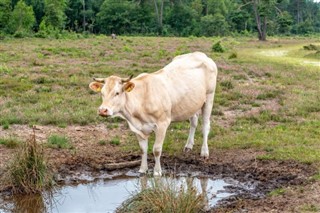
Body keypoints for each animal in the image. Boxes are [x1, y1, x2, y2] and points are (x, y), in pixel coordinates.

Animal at [89, 50, 218, 176]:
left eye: (117, 93)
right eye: (102, 93)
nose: (102, 110)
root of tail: (200, 54)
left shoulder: (162, 124)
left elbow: (156, 149)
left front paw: (157, 171)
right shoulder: (137, 128)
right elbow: (143, 149)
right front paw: (142, 169)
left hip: (209, 97)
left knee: (205, 125)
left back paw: (204, 152)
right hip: (192, 103)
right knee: (193, 122)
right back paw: (188, 146)